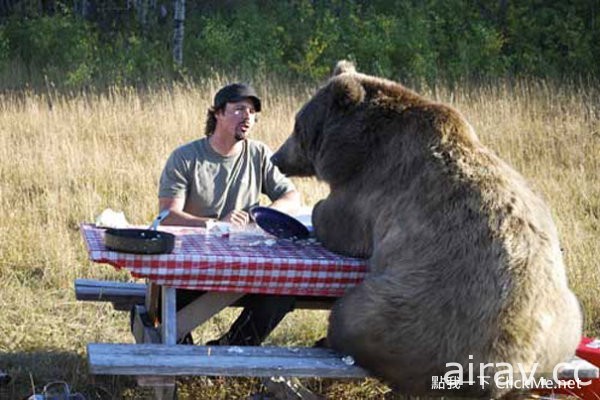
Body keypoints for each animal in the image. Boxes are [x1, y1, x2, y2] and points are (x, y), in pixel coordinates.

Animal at [272, 61, 580, 398]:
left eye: (297, 126)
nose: (277, 157)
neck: (359, 147)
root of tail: (510, 369)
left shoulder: (375, 186)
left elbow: (339, 222)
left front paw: (317, 212)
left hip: (417, 315)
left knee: (353, 316)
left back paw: (329, 337)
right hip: (567, 325)